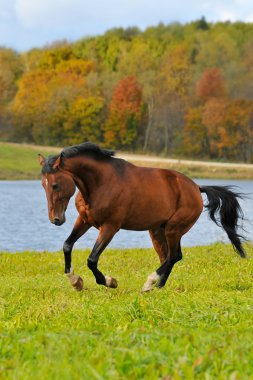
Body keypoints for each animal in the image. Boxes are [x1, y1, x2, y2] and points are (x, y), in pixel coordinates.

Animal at [38, 141, 245, 292]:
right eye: (43, 184)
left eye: (55, 185)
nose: (56, 219)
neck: (100, 182)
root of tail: (196, 188)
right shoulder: (85, 220)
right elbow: (67, 245)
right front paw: (76, 281)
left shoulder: (110, 227)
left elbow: (92, 259)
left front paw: (109, 281)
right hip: (158, 231)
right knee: (168, 257)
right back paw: (158, 286)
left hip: (173, 229)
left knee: (173, 256)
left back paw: (149, 283)